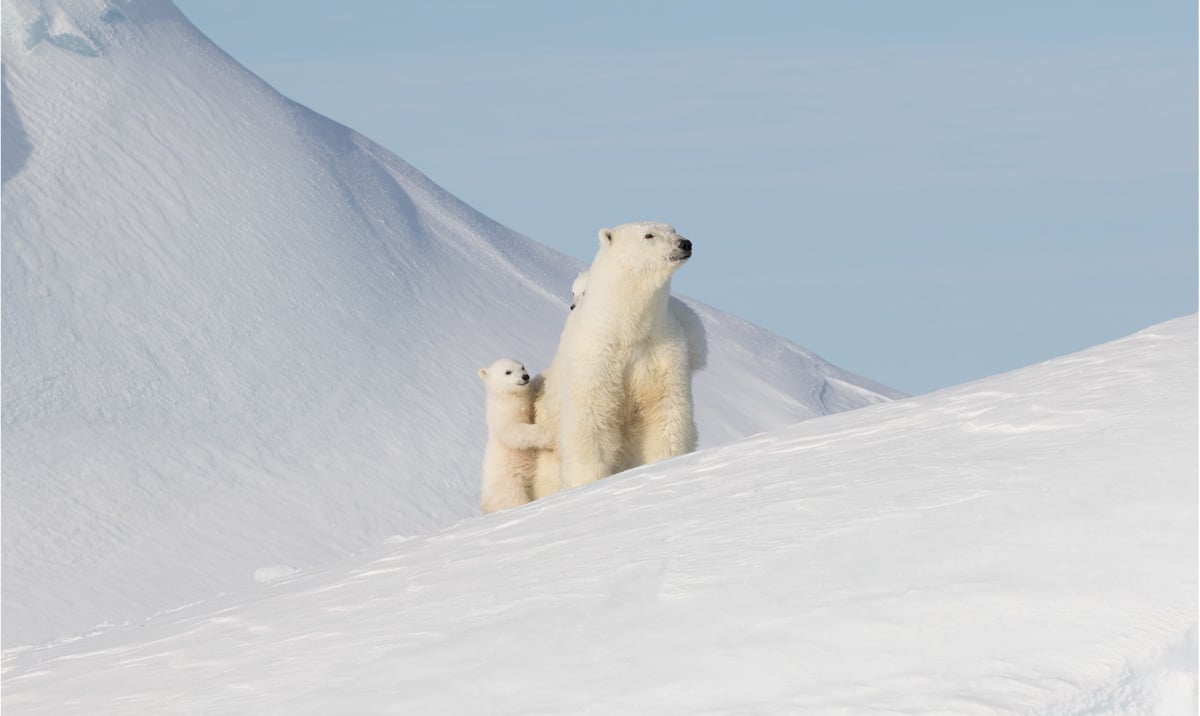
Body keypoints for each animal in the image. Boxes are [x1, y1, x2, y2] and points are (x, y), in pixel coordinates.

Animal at [475, 359, 554, 510]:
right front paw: (549, 436)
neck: (506, 400)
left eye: (522, 367)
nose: (525, 376)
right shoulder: (503, 420)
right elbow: (516, 433)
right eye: (508, 372)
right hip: (509, 485)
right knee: (515, 500)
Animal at [537, 220, 700, 489]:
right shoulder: (596, 356)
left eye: (673, 230)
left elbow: (665, 409)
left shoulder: (661, 352)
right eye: (649, 235)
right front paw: (589, 480)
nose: (685, 244)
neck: (627, 328)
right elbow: (591, 419)